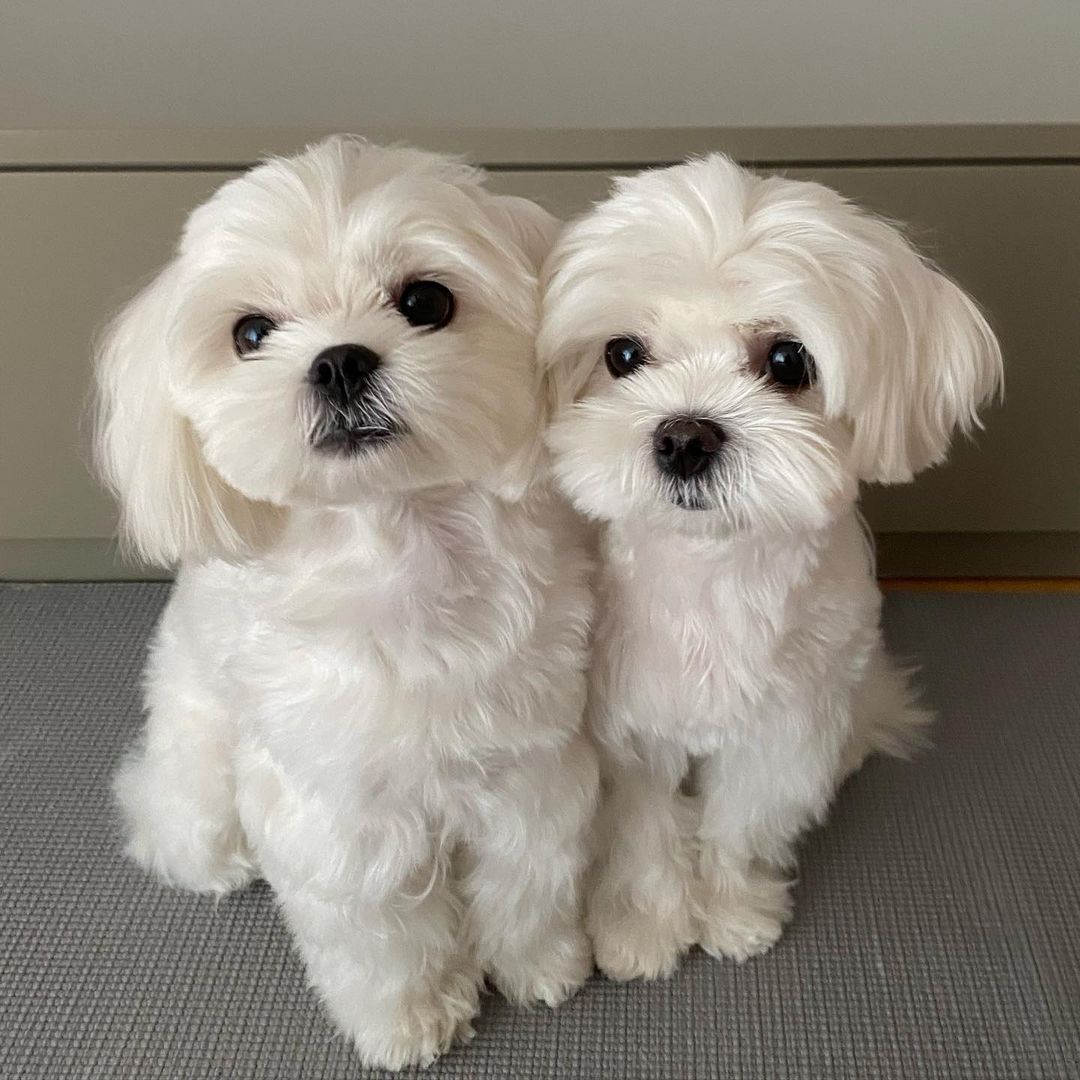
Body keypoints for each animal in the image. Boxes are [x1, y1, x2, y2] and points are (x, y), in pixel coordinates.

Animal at [93, 137, 600, 1071]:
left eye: (426, 300)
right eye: (251, 333)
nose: (338, 360)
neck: (401, 549)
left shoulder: (530, 767)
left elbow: (527, 878)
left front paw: (538, 966)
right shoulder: (342, 814)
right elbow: (378, 932)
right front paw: (409, 1019)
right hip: (199, 768)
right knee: (177, 825)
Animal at [540, 157, 1002, 980]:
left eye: (788, 360)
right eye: (622, 354)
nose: (684, 437)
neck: (711, 575)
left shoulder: (786, 730)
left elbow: (742, 822)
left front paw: (731, 910)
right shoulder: (629, 727)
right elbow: (645, 826)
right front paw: (645, 925)